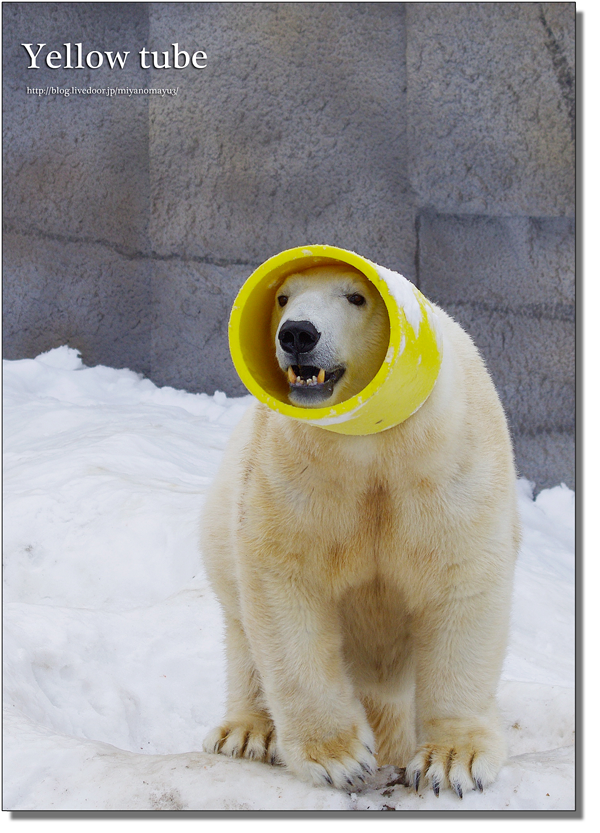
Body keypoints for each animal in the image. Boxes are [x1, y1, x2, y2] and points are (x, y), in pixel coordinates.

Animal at [202, 264, 520, 796]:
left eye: (356, 297)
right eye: (283, 297)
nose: (298, 333)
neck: (374, 444)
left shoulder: (450, 464)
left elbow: (462, 582)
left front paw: (453, 760)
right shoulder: (297, 472)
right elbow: (286, 584)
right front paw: (340, 758)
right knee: (242, 629)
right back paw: (247, 733)